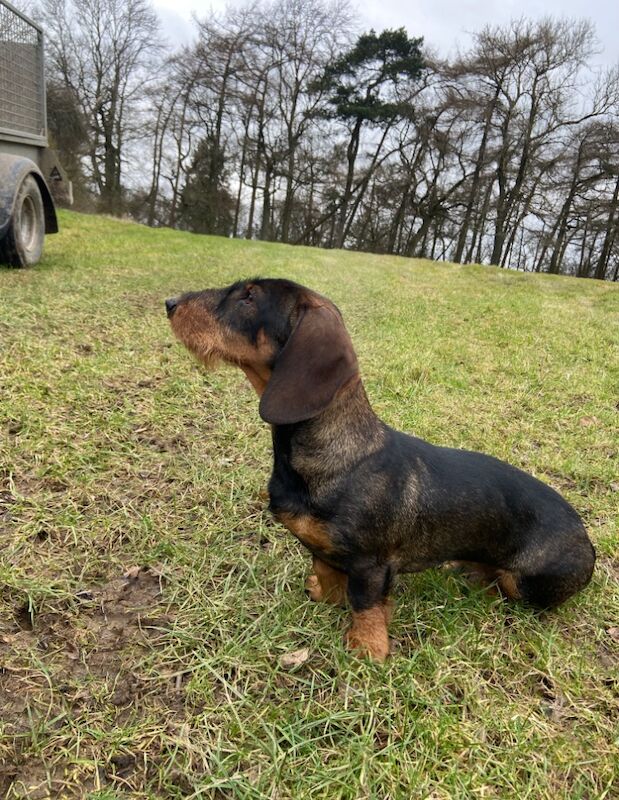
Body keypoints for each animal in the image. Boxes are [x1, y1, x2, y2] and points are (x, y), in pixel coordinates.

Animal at [165, 278, 596, 660]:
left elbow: (366, 604)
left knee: (509, 591)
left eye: (249, 297)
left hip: (525, 583)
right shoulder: (324, 550)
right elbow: (328, 575)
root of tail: (585, 536)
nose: (170, 303)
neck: (338, 457)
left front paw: (367, 647)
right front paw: (326, 597)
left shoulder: (370, 565)